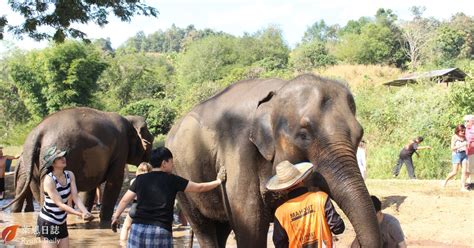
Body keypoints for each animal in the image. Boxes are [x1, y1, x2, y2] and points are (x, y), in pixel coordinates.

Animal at [1, 106, 154, 223]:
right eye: (151, 139)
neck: (129, 119)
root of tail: (38, 132)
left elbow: (91, 185)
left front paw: (86, 218)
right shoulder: (120, 148)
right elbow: (114, 181)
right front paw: (105, 222)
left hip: (33, 164)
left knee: (38, 189)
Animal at [167, 74, 382, 248]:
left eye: (359, 134)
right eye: (304, 135)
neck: (277, 92)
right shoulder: (239, 149)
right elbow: (251, 227)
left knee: (222, 227)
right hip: (181, 181)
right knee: (204, 227)